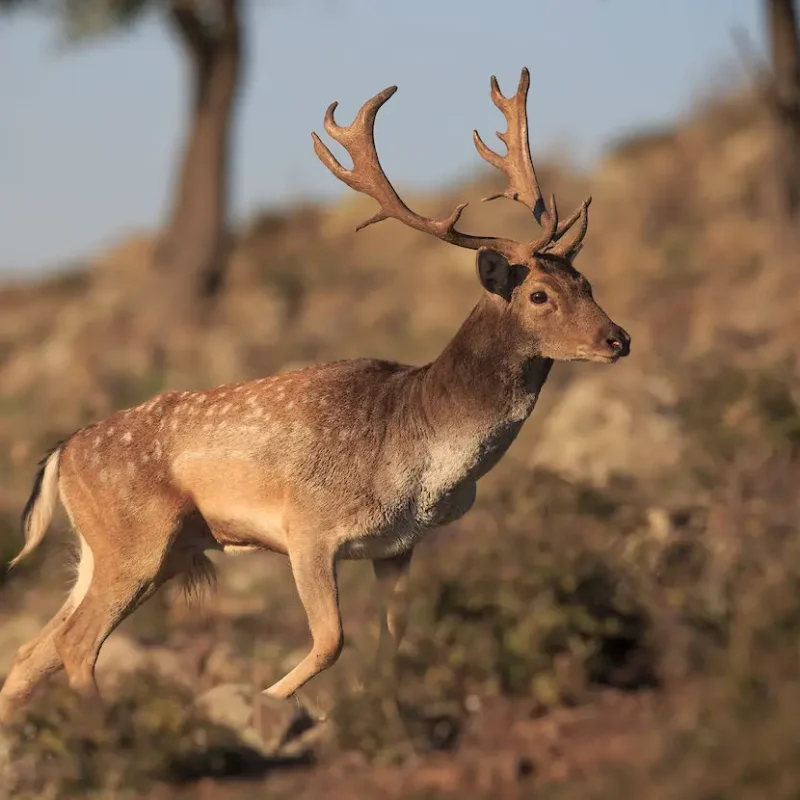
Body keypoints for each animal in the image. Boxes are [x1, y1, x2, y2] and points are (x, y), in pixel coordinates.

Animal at [0, 67, 629, 730]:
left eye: (586, 282)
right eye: (538, 294)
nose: (619, 338)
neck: (422, 458)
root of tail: (61, 453)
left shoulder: (398, 546)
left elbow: (392, 638)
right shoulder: (308, 528)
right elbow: (331, 641)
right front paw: (270, 703)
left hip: (124, 552)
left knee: (31, 650)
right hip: (136, 540)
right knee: (74, 643)